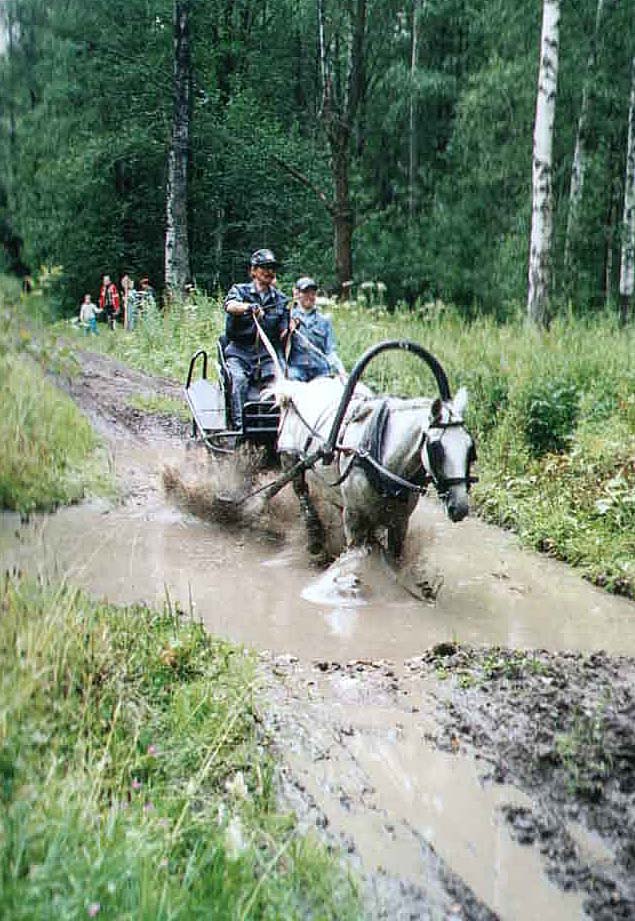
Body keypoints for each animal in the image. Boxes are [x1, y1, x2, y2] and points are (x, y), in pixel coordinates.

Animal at [274, 370, 476, 556]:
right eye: (436, 448)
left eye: (470, 448)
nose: (460, 507)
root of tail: (296, 390)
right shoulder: (354, 520)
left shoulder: (400, 522)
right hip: (291, 462)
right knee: (302, 495)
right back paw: (315, 540)